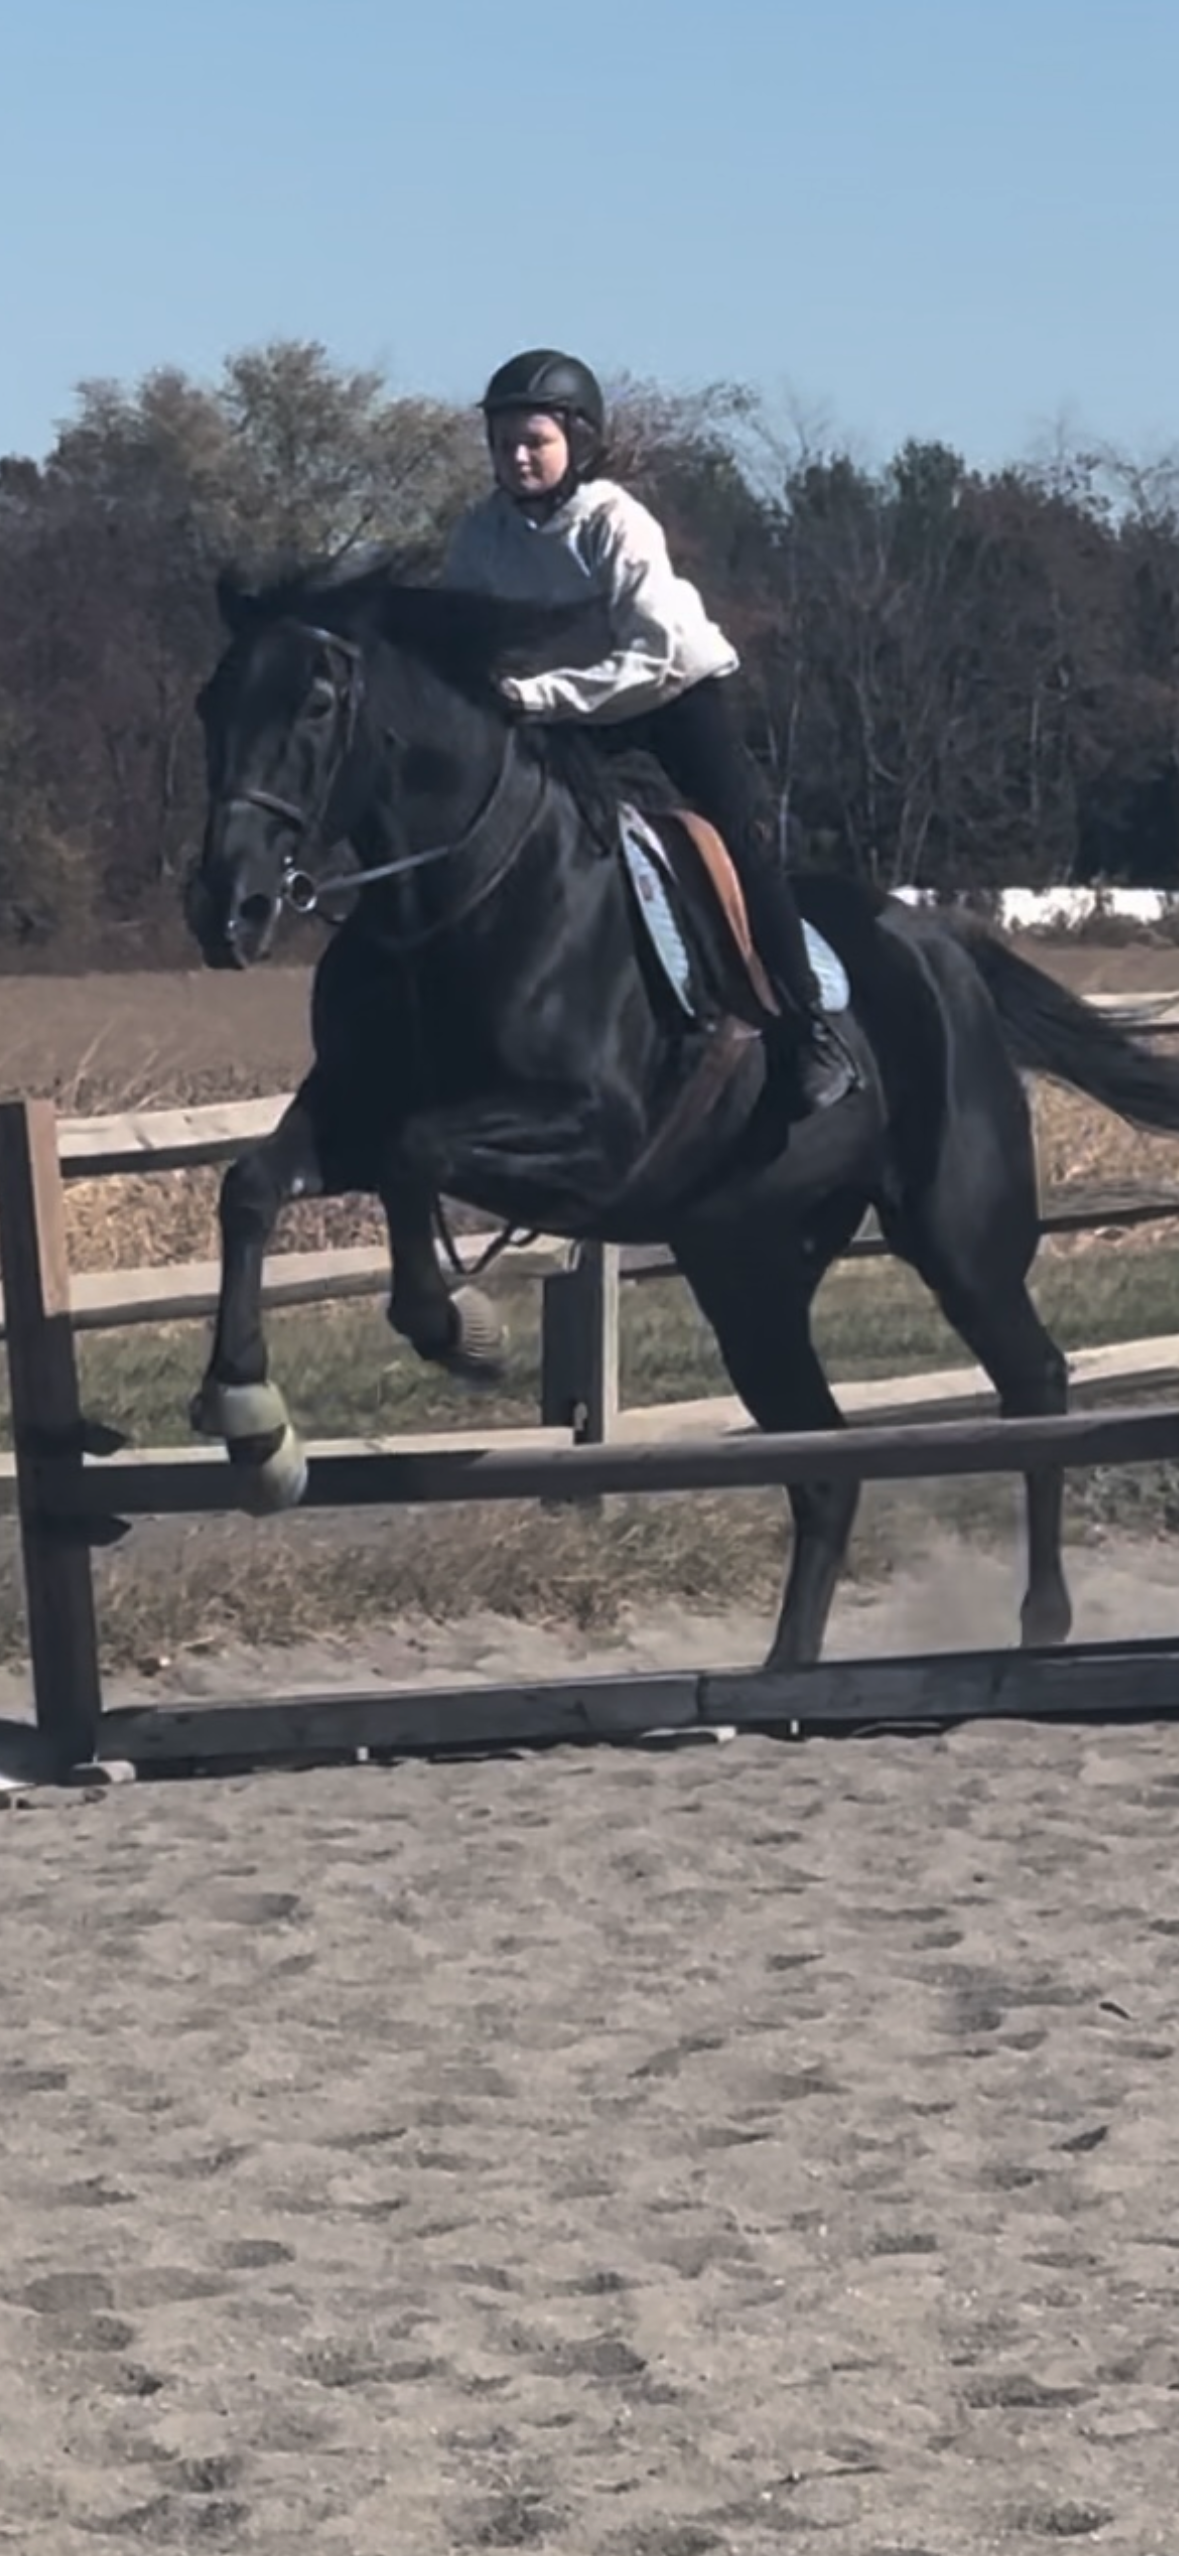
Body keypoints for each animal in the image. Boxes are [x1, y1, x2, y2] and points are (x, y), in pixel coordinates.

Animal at [184, 551, 1179, 1669]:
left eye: (314, 703)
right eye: (212, 701)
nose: (226, 909)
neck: (453, 904)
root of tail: (947, 947)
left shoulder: (591, 1135)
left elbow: (413, 1154)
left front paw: (459, 1329)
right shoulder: (348, 1118)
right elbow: (254, 1185)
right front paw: (248, 1416)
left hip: (957, 1233)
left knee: (1034, 1383)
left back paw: (1041, 1623)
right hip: (748, 1269)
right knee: (826, 1464)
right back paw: (786, 1673)